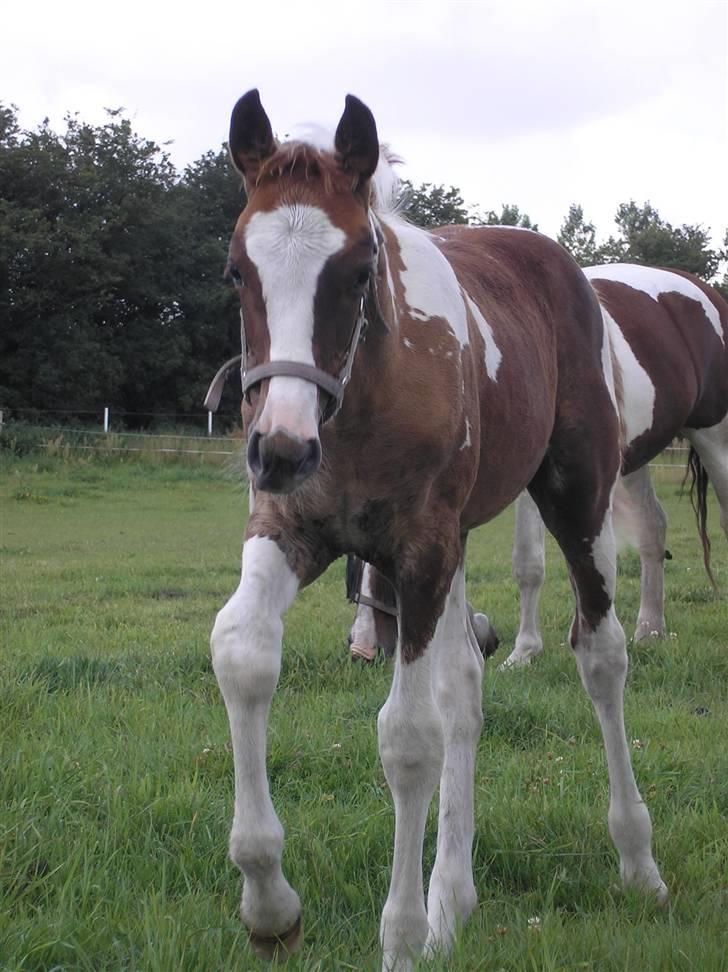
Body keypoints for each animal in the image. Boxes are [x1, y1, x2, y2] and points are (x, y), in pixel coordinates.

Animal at [205, 87, 664, 968]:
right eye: (236, 269)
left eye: (357, 271)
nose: (279, 449)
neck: (359, 405)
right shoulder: (296, 529)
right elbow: (242, 652)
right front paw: (270, 903)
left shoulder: (418, 549)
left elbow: (409, 736)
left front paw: (403, 935)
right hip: (453, 548)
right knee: (467, 687)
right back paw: (455, 901)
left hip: (576, 501)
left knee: (601, 655)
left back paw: (637, 861)